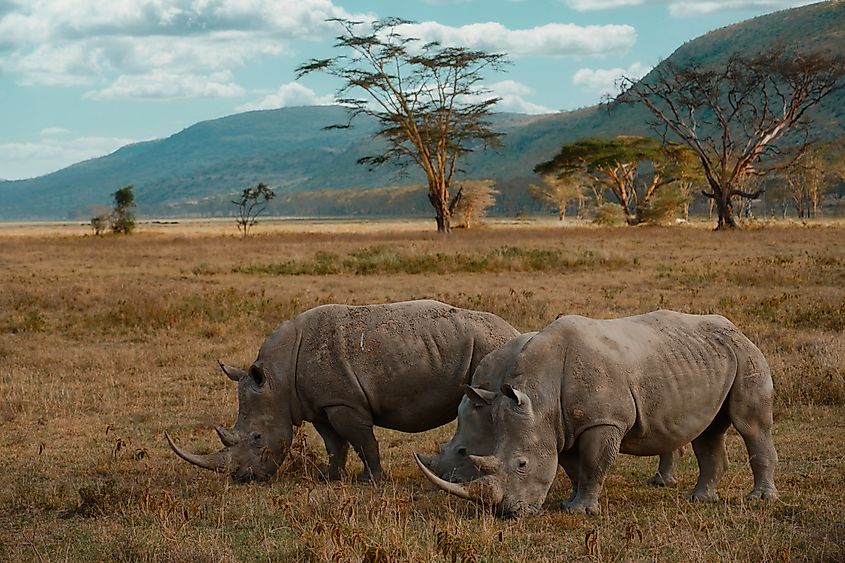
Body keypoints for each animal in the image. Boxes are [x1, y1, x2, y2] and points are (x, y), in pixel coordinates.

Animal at [166, 300, 519, 483]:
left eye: (256, 437)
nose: (243, 478)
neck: (277, 379)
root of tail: (513, 329)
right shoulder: (319, 404)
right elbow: (334, 443)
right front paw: (328, 478)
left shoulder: (344, 402)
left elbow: (363, 442)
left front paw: (374, 481)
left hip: (488, 345)